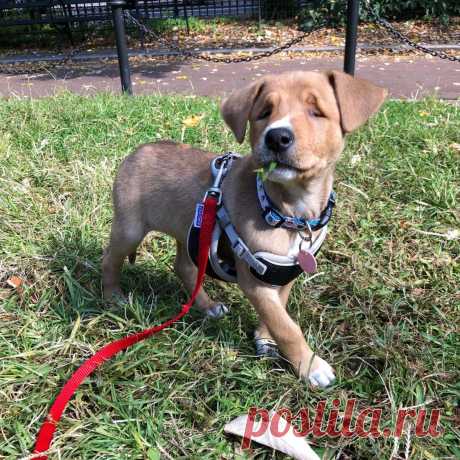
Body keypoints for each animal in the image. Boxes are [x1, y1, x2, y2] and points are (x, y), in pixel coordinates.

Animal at [102, 71, 386, 388]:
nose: (276, 137)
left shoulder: (284, 271)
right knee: (109, 259)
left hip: (191, 231)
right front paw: (310, 366)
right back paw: (113, 297)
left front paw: (265, 338)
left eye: (316, 112)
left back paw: (207, 305)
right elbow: (286, 326)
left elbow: (278, 311)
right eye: (264, 113)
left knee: (184, 267)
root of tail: (136, 152)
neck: (288, 213)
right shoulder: (253, 279)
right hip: (130, 229)